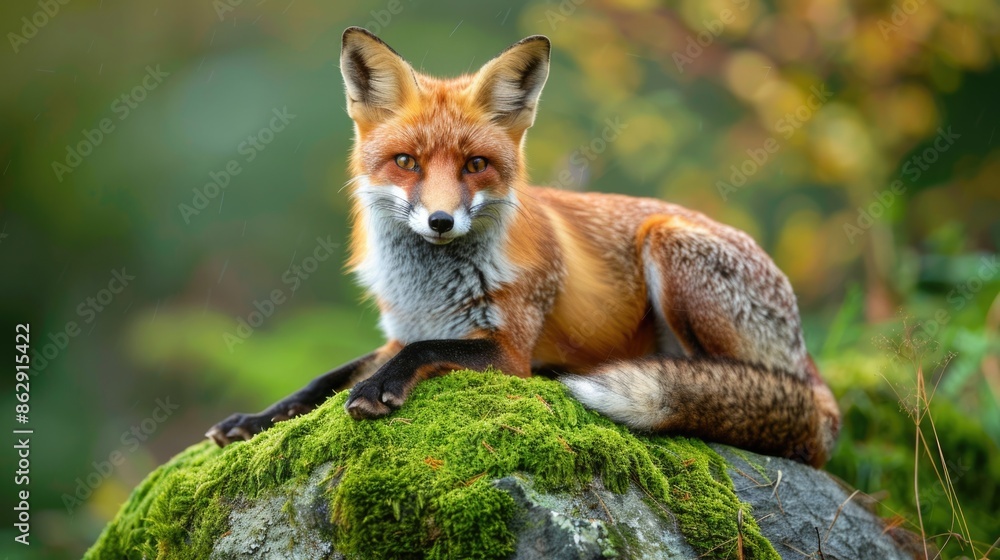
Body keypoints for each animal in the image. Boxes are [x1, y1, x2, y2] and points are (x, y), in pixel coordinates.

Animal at [207, 27, 841, 467]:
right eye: (407, 162)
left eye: (475, 165)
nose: (440, 221)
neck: (428, 290)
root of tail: (811, 364)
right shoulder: (400, 331)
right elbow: (320, 380)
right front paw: (254, 420)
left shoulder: (506, 350)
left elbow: (428, 351)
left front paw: (379, 389)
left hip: (669, 242)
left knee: (738, 397)